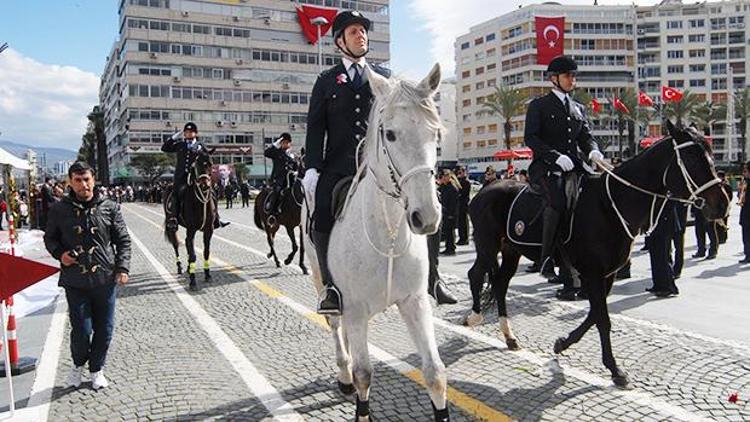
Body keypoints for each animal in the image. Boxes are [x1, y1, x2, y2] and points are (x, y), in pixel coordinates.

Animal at [162, 148, 214, 290]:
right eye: (196, 165)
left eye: (211, 164)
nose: (204, 185)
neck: (200, 202)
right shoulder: (191, 230)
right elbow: (193, 255)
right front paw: (192, 280)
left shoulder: (208, 230)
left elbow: (206, 252)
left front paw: (207, 275)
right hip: (172, 225)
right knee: (176, 244)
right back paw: (180, 266)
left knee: (186, 244)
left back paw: (187, 268)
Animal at [302, 64, 450, 420]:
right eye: (391, 134)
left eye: (435, 135)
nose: (426, 216)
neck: (390, 232)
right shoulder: (355, 308)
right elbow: (364, 374)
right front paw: (358, 398)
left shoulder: (414, 301)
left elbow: (435, 373)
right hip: (321, 279)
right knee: (335, 327)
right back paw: (342, 374)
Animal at [468, 120, 732, 388]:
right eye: (691, 159)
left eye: (712, 156)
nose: (722, 204)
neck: (611, 204)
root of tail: (484, 190)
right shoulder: (593, 272)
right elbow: (602, 319)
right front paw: (615, 369)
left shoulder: (607, 274)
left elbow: (595, 314)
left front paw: (563, 343)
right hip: (487, 245)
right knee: (476, 275)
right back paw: (474, 317)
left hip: (511, 250)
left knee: (500, 284)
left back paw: (508, 335)